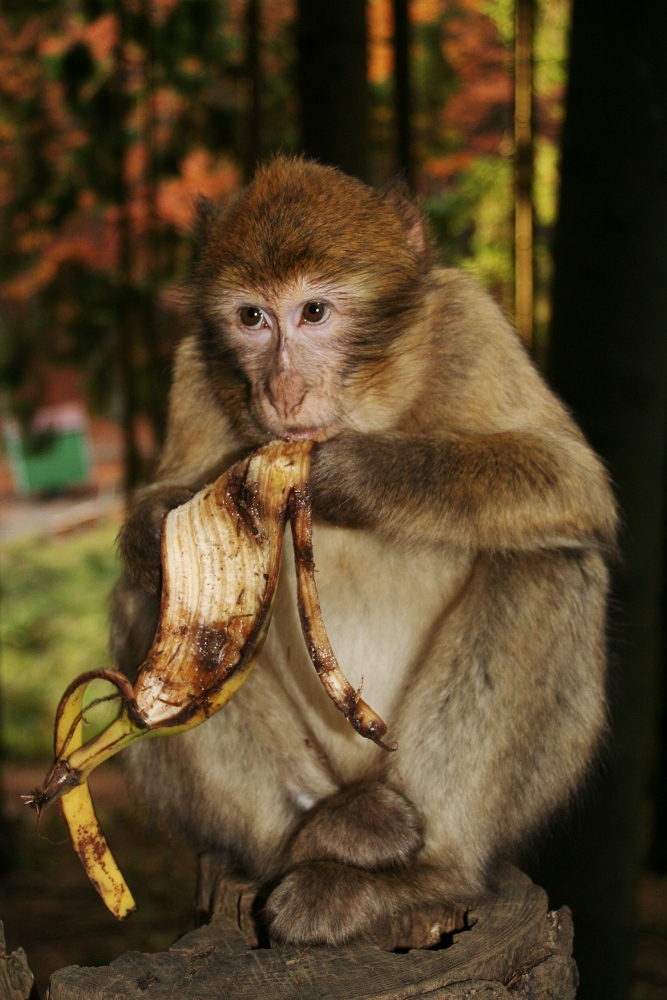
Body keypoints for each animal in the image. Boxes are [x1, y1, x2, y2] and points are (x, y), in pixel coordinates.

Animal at [112, 154, 620, 944]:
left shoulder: (468, 321)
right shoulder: (195, 365)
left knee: (547, 562)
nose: (282, 390)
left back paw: (417, 874)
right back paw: (321, 832)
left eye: (315, 313)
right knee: (154, 603)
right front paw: (156, 531)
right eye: (252, 318)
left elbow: (572, 482)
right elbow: (162, 513)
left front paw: (351, 475)